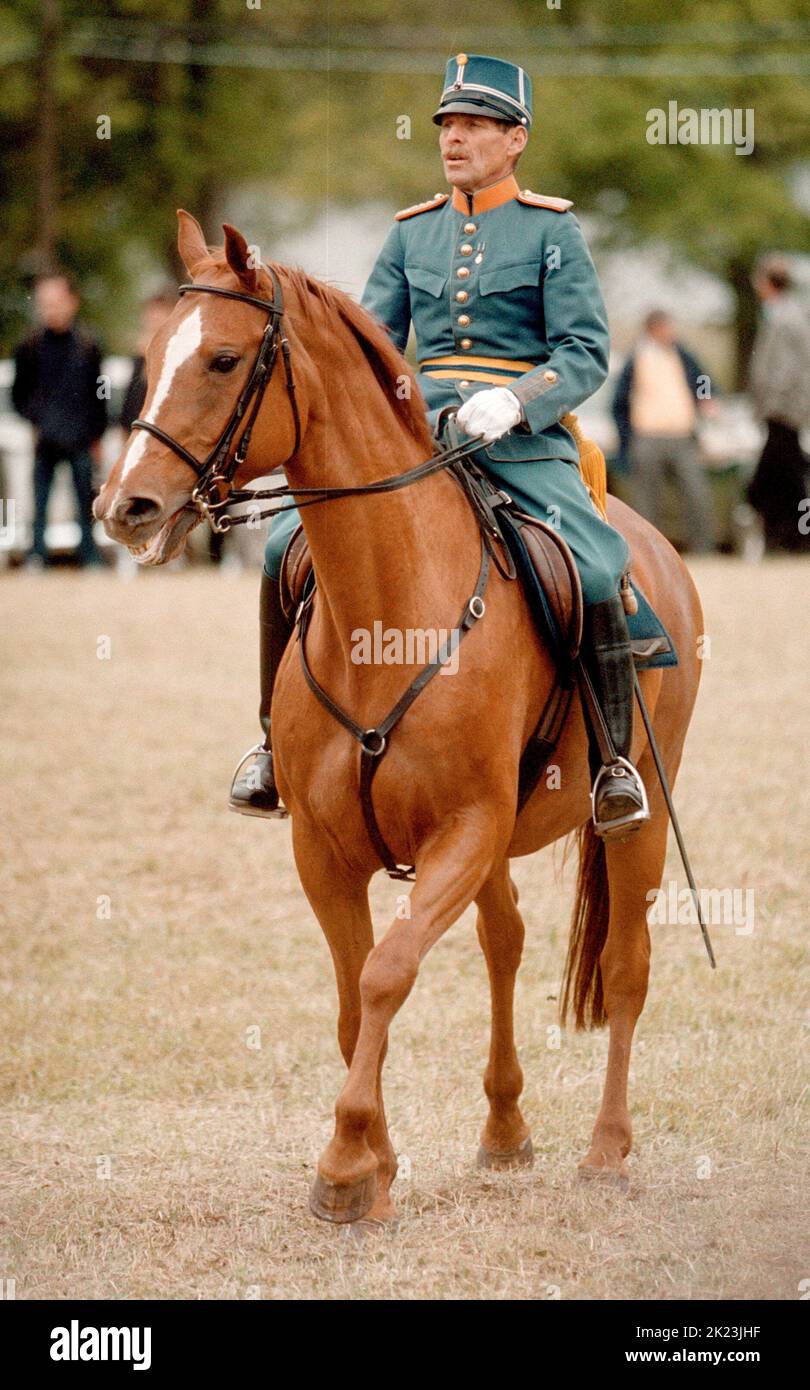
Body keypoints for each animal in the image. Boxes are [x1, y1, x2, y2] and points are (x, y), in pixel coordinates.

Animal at [93, 208, 703, 1228]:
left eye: (222, 359)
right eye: (148, 354)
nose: (123, 505)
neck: (389, 601)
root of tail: (651, 540)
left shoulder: (466, 827)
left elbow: (386, 973)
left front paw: (346, 1164)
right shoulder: (324, 849)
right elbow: (353, 996)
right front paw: (375, 1159)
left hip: (642, 808)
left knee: (625, 963)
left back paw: (608, 1151)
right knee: (506, 941)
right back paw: (505, 1129)